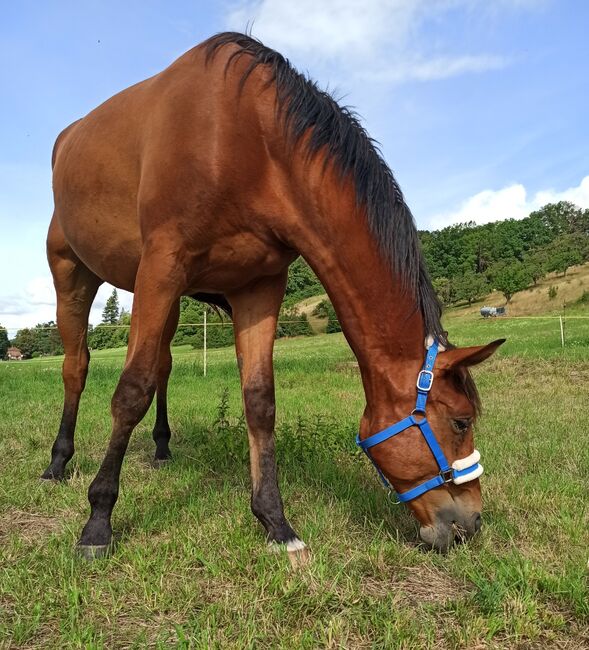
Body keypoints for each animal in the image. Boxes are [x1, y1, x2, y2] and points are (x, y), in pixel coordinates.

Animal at [41, 31, 504, 556]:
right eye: (461, 422)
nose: (470, 522)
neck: (250, 140)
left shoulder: (257, 287)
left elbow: (259, 402)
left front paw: (275, 522)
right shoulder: (161, 266)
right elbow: (130, 391)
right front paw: (98, 520)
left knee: (163, 366)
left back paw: (161, 446)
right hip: (74, 276)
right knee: (77, 368)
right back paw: (58, 462)